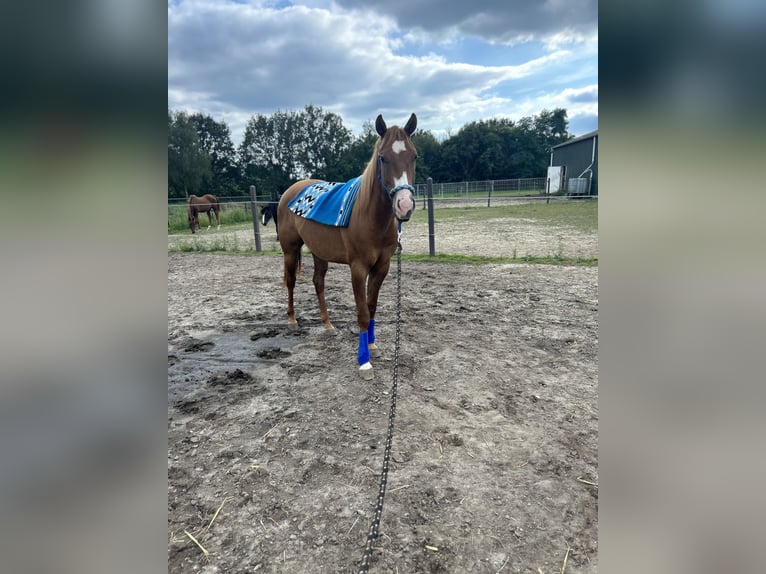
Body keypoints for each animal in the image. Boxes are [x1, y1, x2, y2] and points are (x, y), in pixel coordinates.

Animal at [278, 114, 416, 380]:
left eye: (414, 156)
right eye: (382, 158)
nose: (404, 206)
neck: (371, 216)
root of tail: (291, 191)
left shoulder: (382, 267)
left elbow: (371, 307)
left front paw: (372, 345)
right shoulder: (358, 268)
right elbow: (362, 312)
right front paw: (364, 361)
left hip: (319, 252)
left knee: (318, 283)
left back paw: (327, 324)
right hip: (290, 251)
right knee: (290, 281)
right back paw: (291, 320)